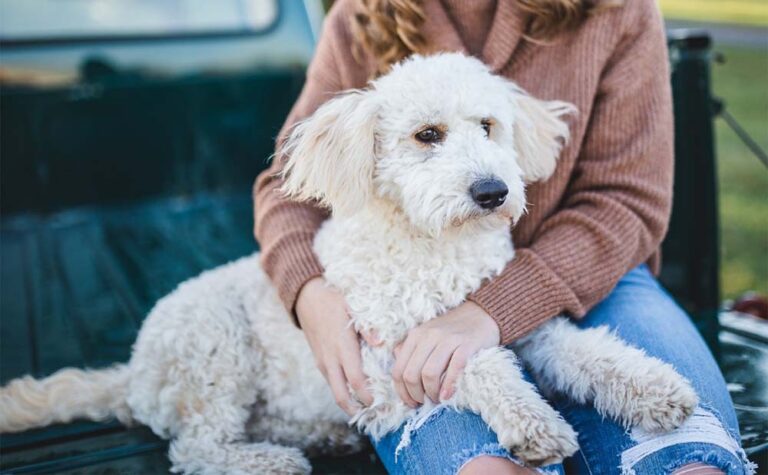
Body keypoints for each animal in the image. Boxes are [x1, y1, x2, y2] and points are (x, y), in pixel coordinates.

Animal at [0, 54, 696, 474]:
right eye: (427, 135)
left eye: (489, 125)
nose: (493, 191)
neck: (433, 243)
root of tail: (133, 373)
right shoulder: (387, 362)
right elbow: (478, 364)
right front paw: (533, 423)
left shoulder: (524, 325)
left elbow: (591, 353)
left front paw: (657, 389)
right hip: (214, 348)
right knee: (196, 450)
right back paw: (268, 460)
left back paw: (322, 436)